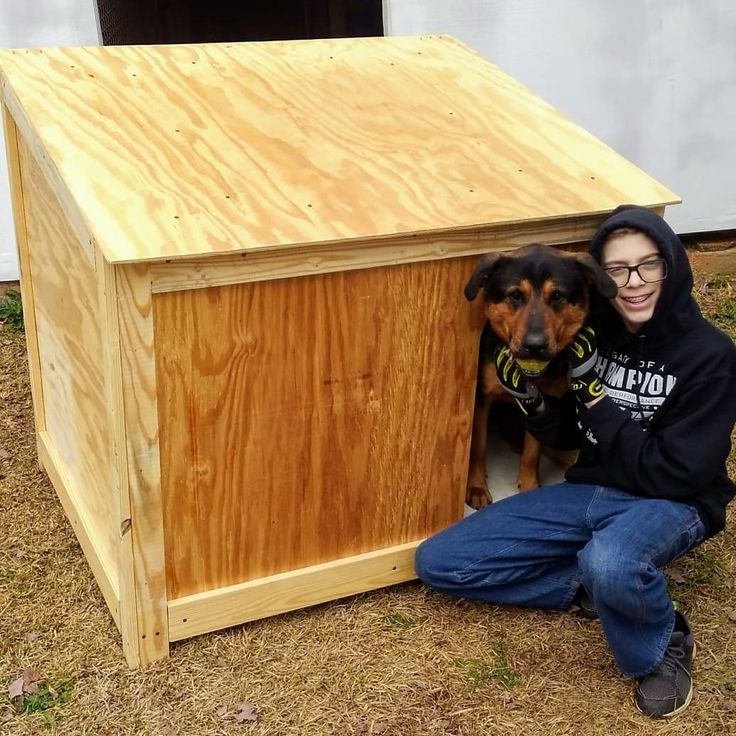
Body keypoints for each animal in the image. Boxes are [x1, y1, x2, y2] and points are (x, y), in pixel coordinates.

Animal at [466, 244, 616, 508]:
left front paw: (529, 486)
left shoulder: (541, 405)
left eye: (557, 296)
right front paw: (476, 486)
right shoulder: (482, 399)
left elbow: (532, 451)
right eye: (515, 295)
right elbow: (478, 446)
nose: (535, 346)